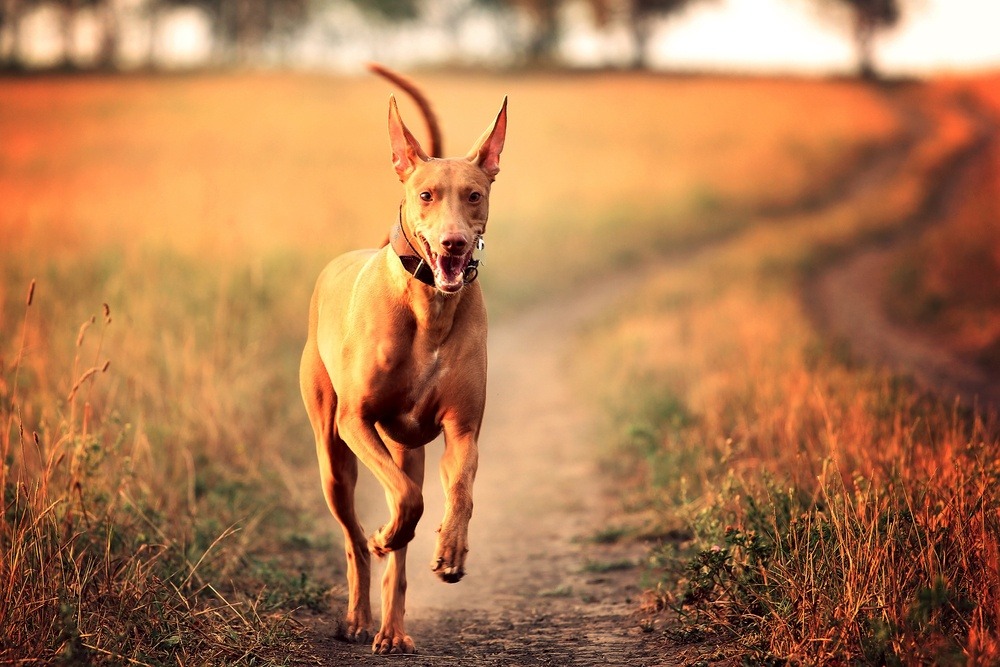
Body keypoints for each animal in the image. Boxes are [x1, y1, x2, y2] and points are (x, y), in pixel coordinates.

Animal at [294, 69, 500, 656]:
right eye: (426, 195)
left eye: (474, 195)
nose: (454, 244)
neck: (428, 308)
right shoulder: (356, 420)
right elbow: (404, 504)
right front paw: (386, 534)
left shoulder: (462, 431)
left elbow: (459, 492)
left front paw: (451, 552)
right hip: (333, 458)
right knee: (355, 539)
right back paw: (360, 615)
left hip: (408, 449)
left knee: (404, 533)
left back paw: (392, 629)